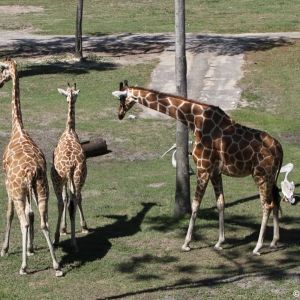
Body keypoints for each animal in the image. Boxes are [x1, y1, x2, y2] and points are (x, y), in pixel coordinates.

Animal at [0, 56, 63, 276]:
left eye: (2, 70)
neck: (18, 128)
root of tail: (31, 171)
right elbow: (32, 213)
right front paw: (31, 248)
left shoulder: (7, 184)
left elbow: (9, 213)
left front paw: (4, 249)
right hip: (42, 189)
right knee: (43, 221)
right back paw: (56, 266)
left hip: (20, 191)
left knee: (24, 221)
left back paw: (23, 267)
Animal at [112, 81, 284, 255]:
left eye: (121, 98)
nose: (119, 114)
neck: (194, 120)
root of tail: (280, 149)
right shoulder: (215, 171)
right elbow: (220, 202)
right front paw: (219, 242)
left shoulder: (203, 168)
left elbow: (195, 204)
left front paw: (186, 243)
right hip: (270, 177)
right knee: (276, 200)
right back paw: (274, 242)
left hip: (261, 175)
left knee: (267, 205)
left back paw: (258, 247)